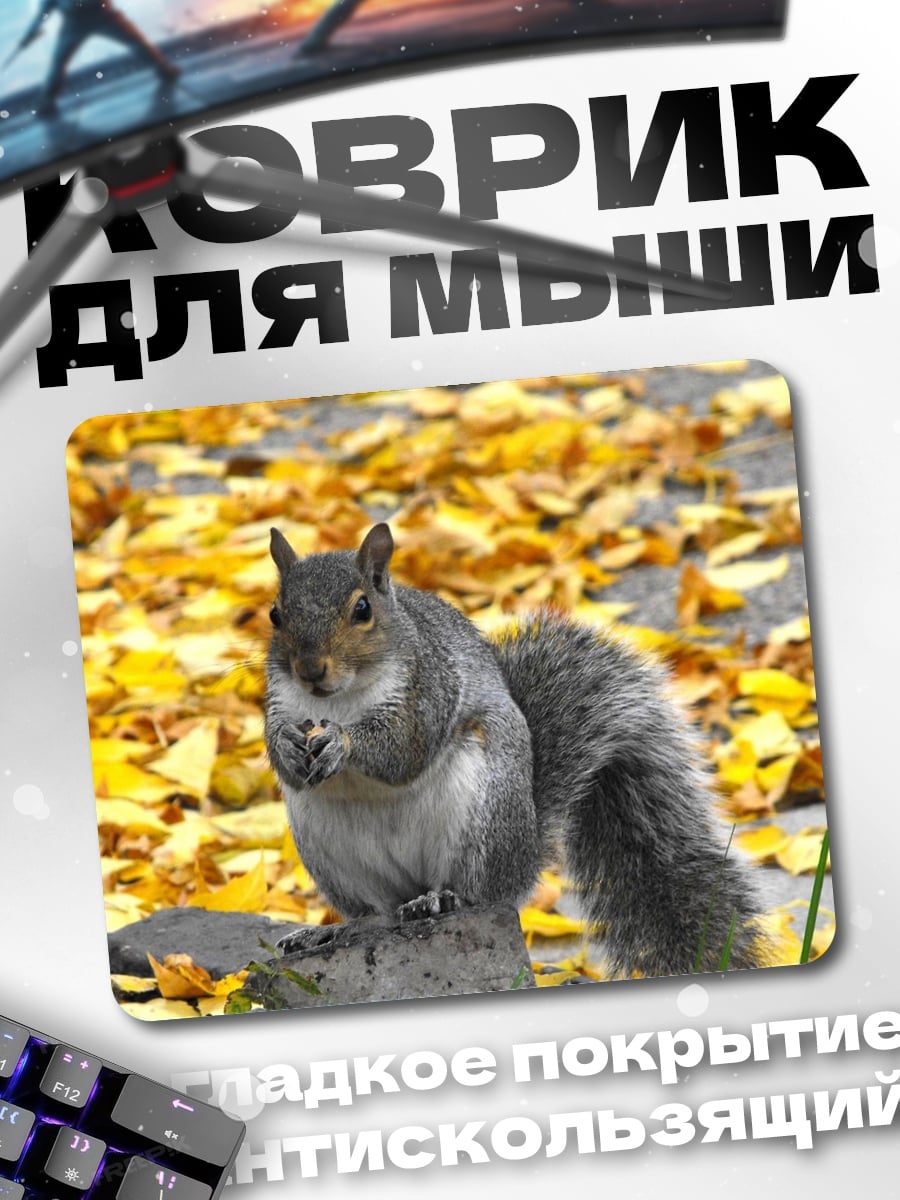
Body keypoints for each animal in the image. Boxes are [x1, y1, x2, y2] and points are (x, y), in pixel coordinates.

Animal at [264, 522, 771, 978]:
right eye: (275, 615)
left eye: (362, 609)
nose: (310, 669)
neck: (337, 700)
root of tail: (525, 857)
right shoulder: (279, 701)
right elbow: (279, 753)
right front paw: (287, 746)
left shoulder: (428, 689)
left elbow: (403, 748)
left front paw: (342, 741)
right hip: (327, 848)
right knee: (376, 913)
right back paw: (332, 930)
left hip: (484, 817)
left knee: (479, 892)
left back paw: (440, 898)